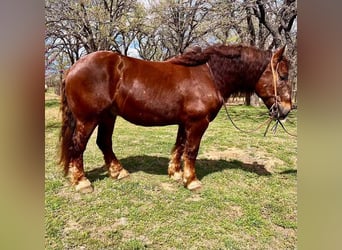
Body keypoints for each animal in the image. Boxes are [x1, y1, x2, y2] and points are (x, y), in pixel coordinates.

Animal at [58, 44, 292, 192]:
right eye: (282, 76)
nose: (287, 109)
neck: (209, 75)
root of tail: (72, 68)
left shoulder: (185, 122)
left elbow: (179, 147)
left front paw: (176, 174)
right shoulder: (198, 123)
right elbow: (191, 150)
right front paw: (191, 181)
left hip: (108, 116)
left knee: (104, 143)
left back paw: (118, 172)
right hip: (88, 119)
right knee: (78, 146)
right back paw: (81, 182)